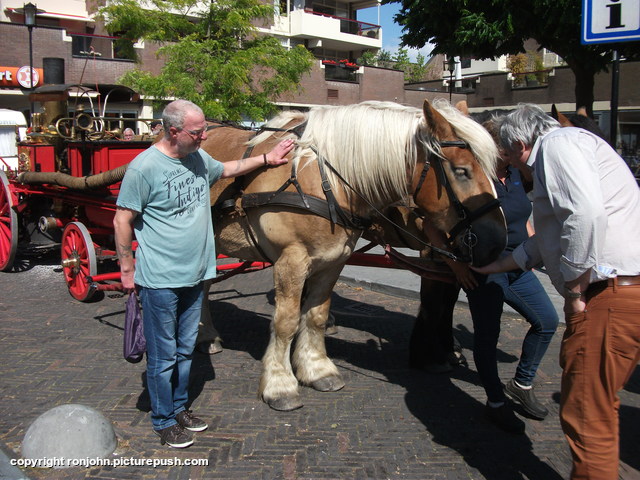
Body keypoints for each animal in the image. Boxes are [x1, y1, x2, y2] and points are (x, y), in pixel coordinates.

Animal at [202, 100, 508, 408]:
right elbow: (286, 322)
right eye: (461, 170)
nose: (498, 242)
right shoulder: (291, 262)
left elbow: (316, 315)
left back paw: (207, 337)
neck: (324, 179)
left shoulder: (333, 261)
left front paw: (317, 369)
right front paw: (280, 385)